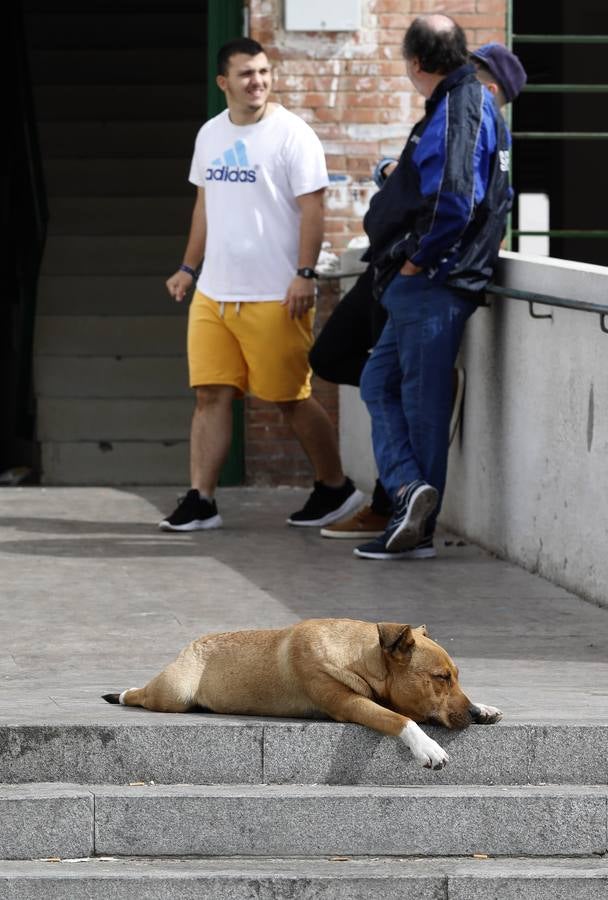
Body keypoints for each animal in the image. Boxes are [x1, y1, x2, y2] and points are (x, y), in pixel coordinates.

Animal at [104, 616, 502, 768]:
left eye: (456, 676)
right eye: (440, 677)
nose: (469, 714)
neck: (361, 655)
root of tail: (191, 643)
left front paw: (484, 707)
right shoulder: (349, 704)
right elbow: (400, 719)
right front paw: (428, 748)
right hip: (173, 694)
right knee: (144, 695)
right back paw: (123, 693)